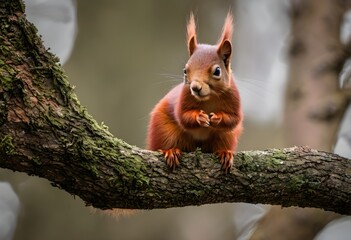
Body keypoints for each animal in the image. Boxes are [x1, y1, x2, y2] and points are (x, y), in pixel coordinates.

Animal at [147, 12, 243, 172]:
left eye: (217, 71)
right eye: (185, 70)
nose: (195, 87)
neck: (209, 98)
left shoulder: (234, 98)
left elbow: (233, 119)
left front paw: (217, 118)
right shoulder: (183, 97)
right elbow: (183, 117)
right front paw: (199, 117)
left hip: (225, 136)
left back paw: (225, 153)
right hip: (164, 129)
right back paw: (171, 151)